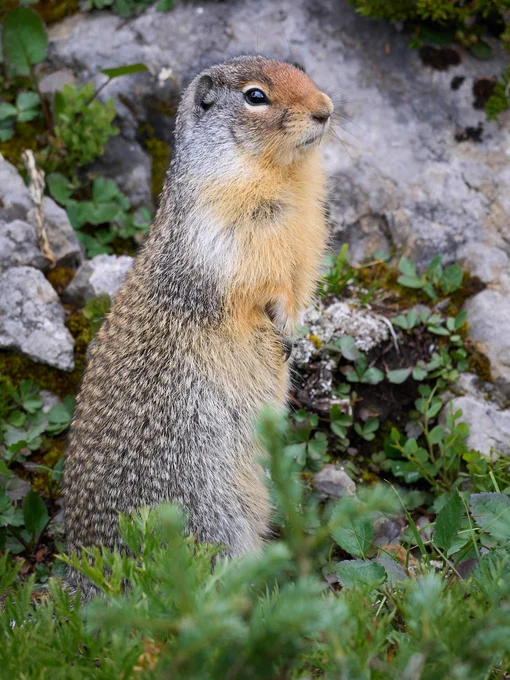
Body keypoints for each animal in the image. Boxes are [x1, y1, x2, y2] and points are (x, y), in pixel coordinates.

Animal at [63, 56, 333, 587]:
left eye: (302, 69)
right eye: (255, 96)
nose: (326, 110)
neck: (285, 176)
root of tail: (86, 572)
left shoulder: (307, 238)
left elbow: (300, 283)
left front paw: (291, 328)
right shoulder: (225, 232)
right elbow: (253, 284)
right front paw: (276, 322)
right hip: (211, 512)